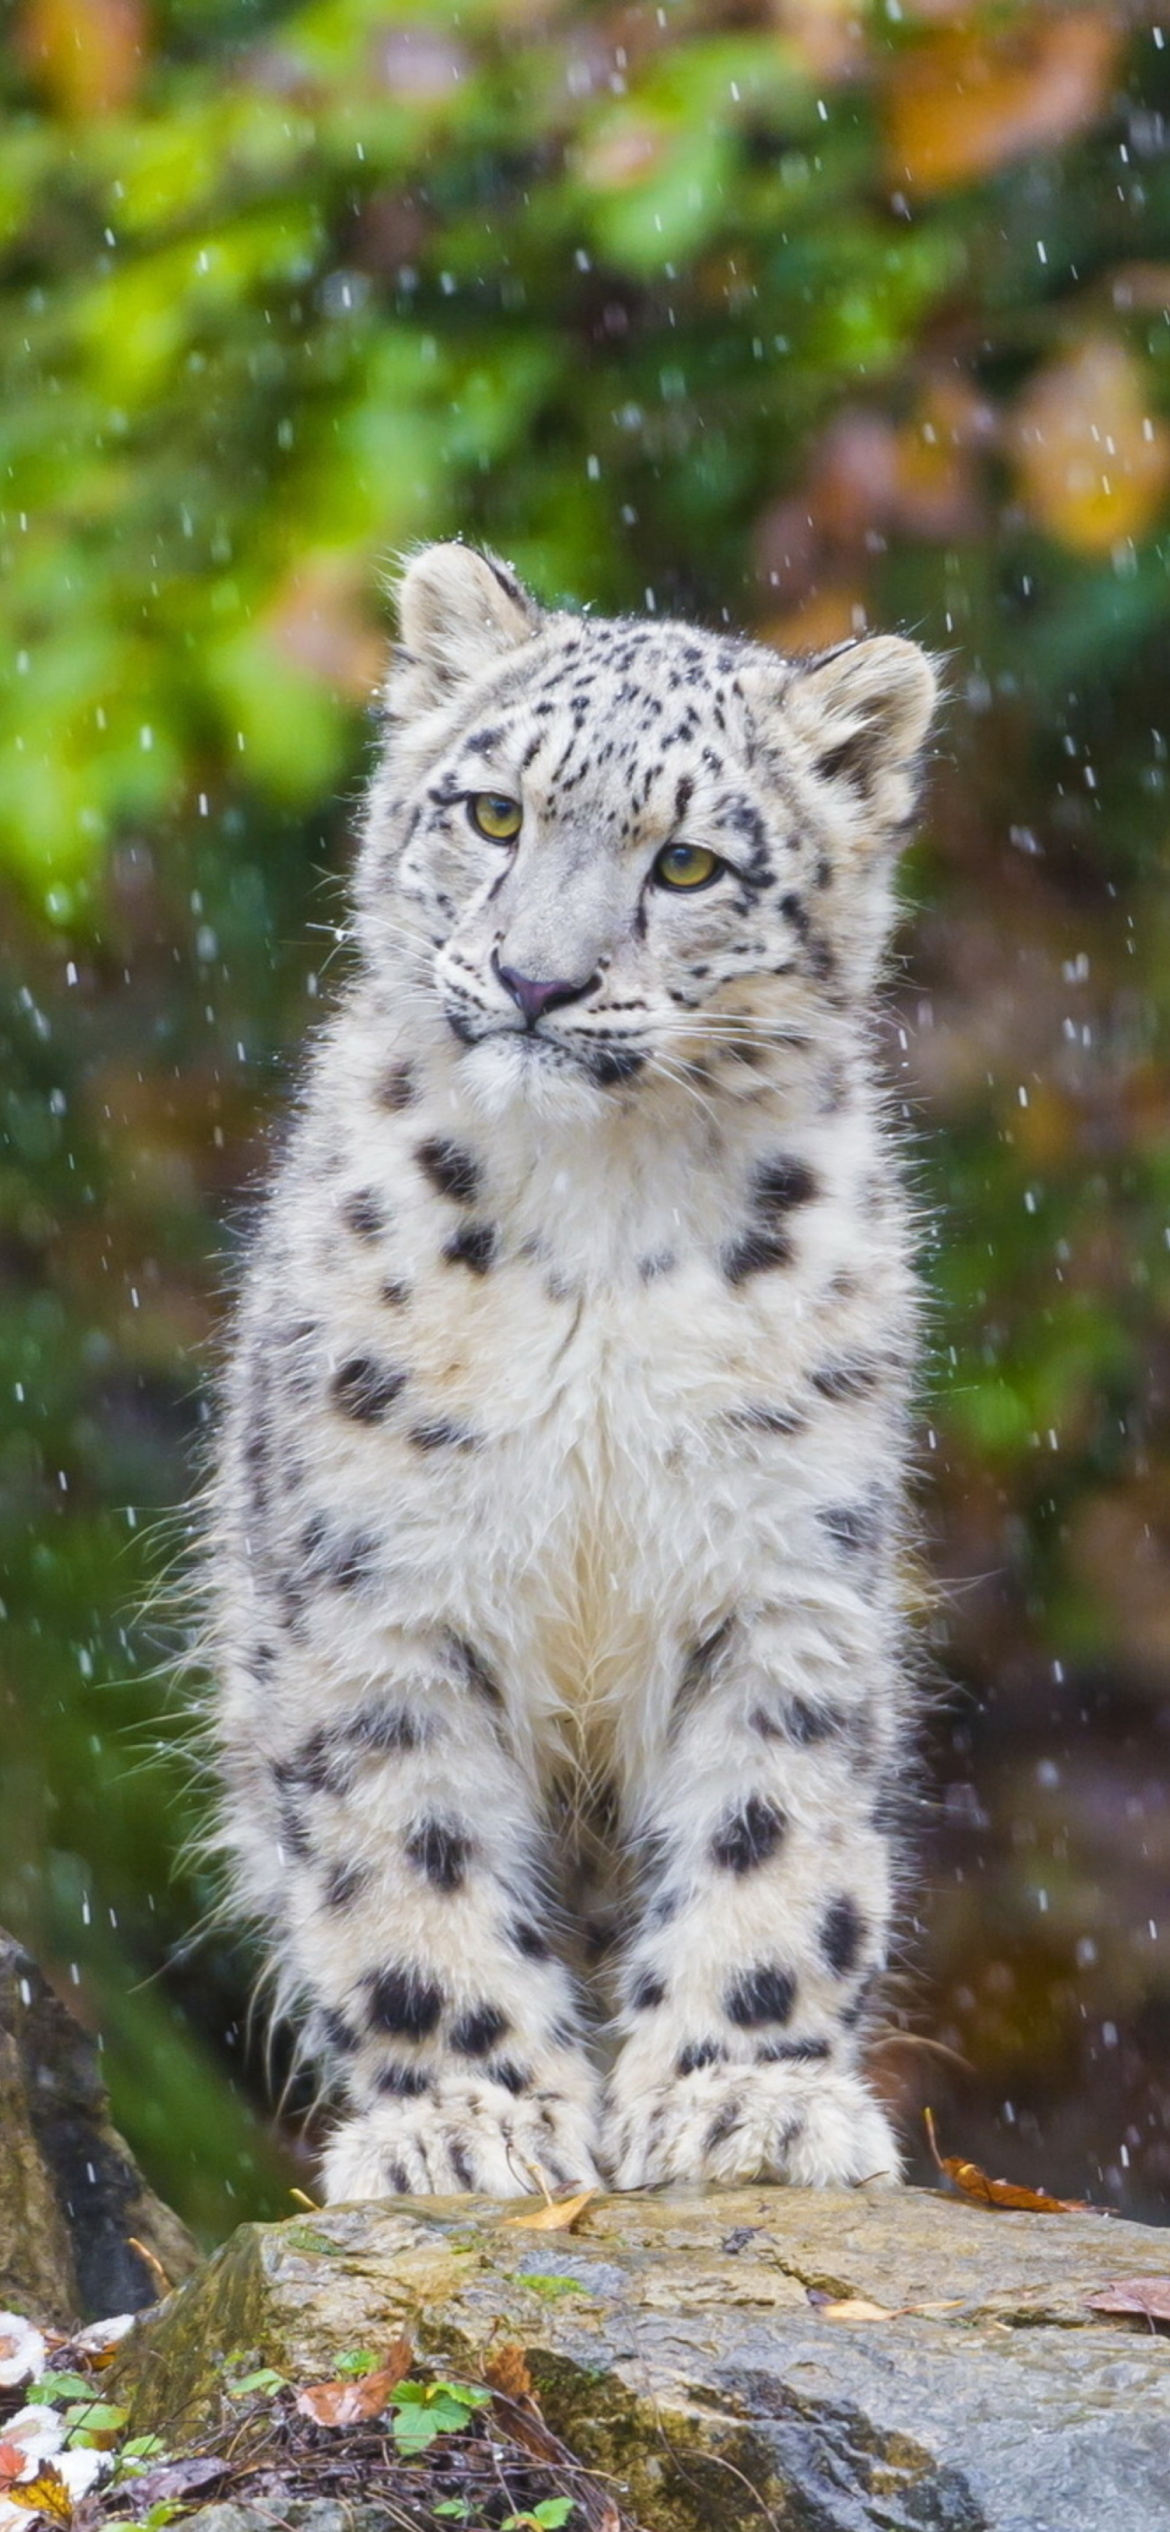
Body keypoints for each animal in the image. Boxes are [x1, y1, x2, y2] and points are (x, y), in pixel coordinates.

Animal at [210, 539, 937, 2197]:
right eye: (494, 813)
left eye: (689, 866)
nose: (536, 981)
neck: (600, 1223)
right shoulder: (377, 1586)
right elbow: (404, 1852)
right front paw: (464, 2119)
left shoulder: (784, 1577)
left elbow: (772, 1834)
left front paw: (746, 2096)